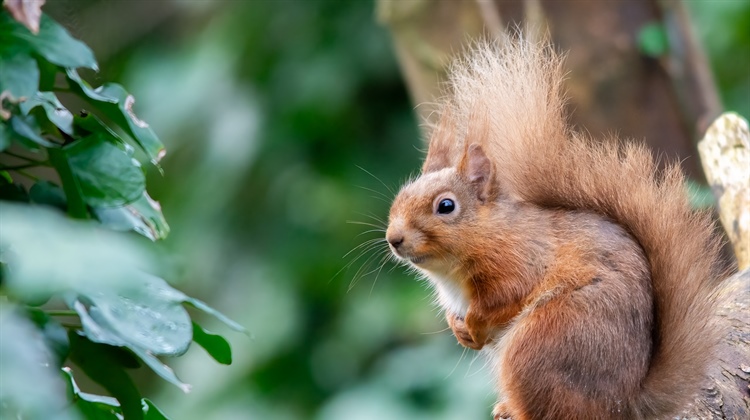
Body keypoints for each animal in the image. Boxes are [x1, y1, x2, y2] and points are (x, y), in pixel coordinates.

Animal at [385, 37, 728, 419]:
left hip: (543, 340)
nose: (393, 239)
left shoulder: (520, 259)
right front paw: (459, 329)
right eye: (400, 196)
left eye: (446, 206)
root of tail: (622, 404)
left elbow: (506, 296)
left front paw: (473, 324)